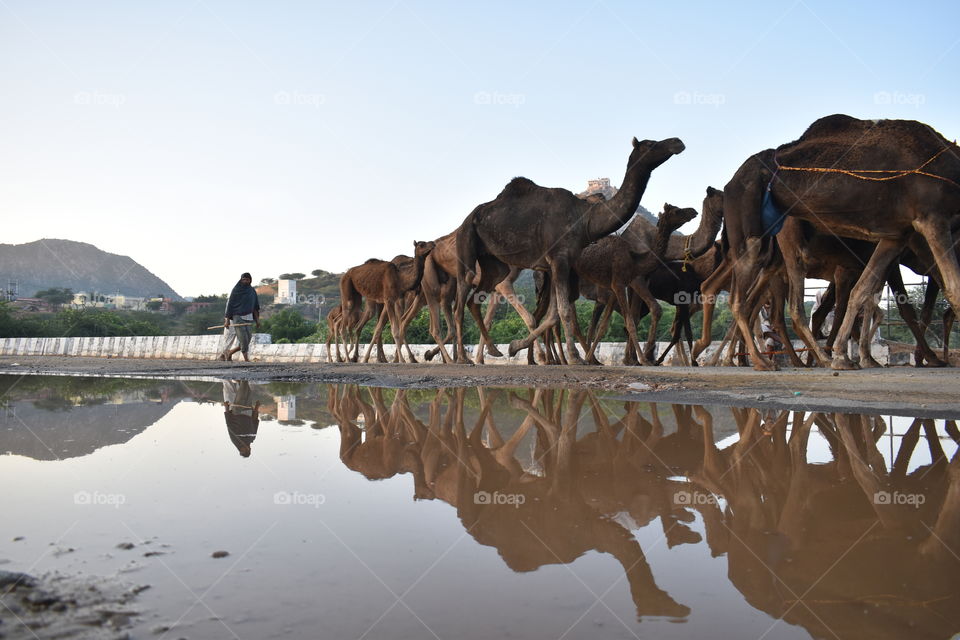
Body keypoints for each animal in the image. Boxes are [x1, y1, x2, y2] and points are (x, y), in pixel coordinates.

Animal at [456, 135, 688, 364]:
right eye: (650, 144)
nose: (677, 141)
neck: (585, 218)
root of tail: (470, 217)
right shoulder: (559, 258)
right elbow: (564, 311)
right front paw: (575, 357)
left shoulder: (560, 263)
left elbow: (554, 314)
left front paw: (515, 347)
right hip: (466, 241)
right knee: (460, 301)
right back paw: (463, 358)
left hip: (495, 264)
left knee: (475, 300)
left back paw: (493, 351)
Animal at [724, 115, 960, 370]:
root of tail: (730, 182)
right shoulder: (931, 217)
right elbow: (951, 289)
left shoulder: (896, 236)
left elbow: (862, 291)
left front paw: (847, 355)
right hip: (757, 230)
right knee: (756, 302)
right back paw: (769, 360)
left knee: (756, 303)